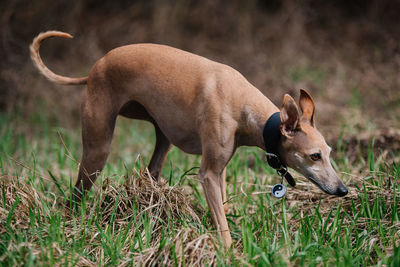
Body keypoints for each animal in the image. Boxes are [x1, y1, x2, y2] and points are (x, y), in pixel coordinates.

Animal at [29, 31, 346, 249]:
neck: (242, 103)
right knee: (75, 195)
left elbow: (222, 208)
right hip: (98, 149)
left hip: (162, 137)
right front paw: (231, 252)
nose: (343, 190)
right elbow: (222, 225)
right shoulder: (208, 174)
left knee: (151, 169)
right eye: (315, 156)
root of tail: (95, 67)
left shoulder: (221, 171)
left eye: (330, 152)